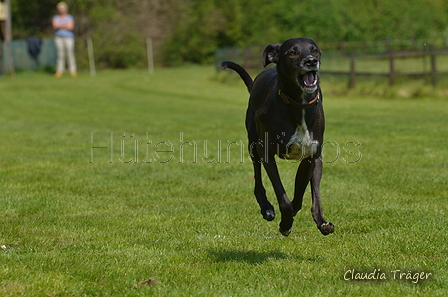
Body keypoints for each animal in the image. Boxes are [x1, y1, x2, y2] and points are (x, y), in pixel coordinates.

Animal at [222, 37, 334, 236]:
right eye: (292, 53)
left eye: (315, 50)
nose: (311, 61)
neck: (298, 105)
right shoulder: (266, 152)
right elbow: (283, 196)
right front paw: (285, 224)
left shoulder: (310, 157)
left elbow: (299, 195)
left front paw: (292, 217)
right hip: (253, 144)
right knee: (258, 178)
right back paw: (266, 208)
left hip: (318, 160)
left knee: (316, 193)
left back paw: (322, 222)